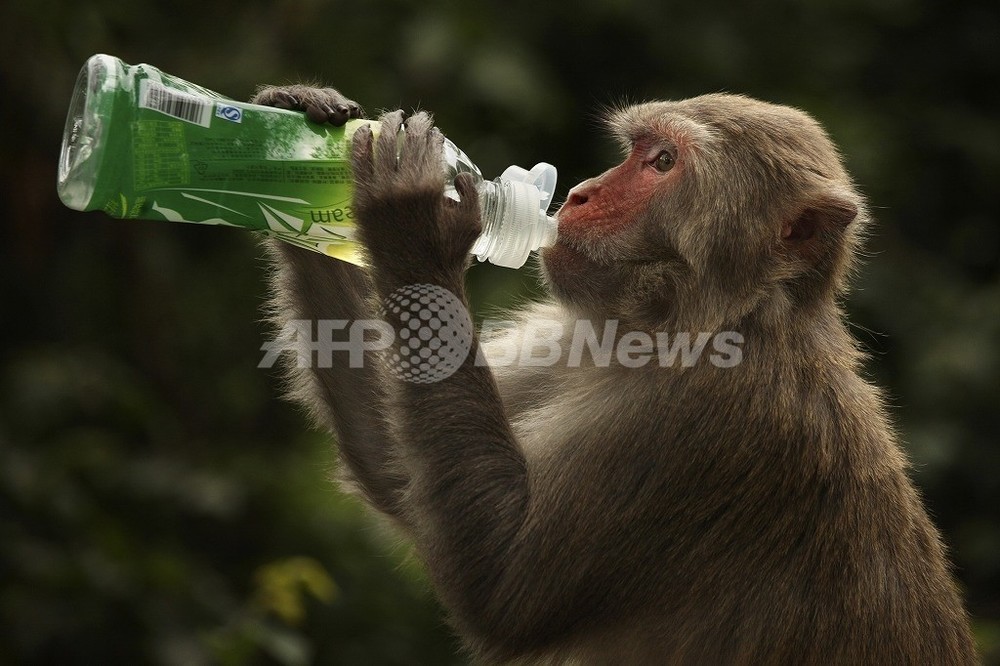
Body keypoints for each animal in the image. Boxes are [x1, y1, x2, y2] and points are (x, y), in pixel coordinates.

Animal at [250, 85, 976, 660]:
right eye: (637, 150)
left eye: (664, 163)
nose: (578, 193)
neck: (696, 325)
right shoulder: (569, 335)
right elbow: (393, 465)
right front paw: (299, 125)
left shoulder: (711, 418)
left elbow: (501, 586)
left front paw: (413, 216)